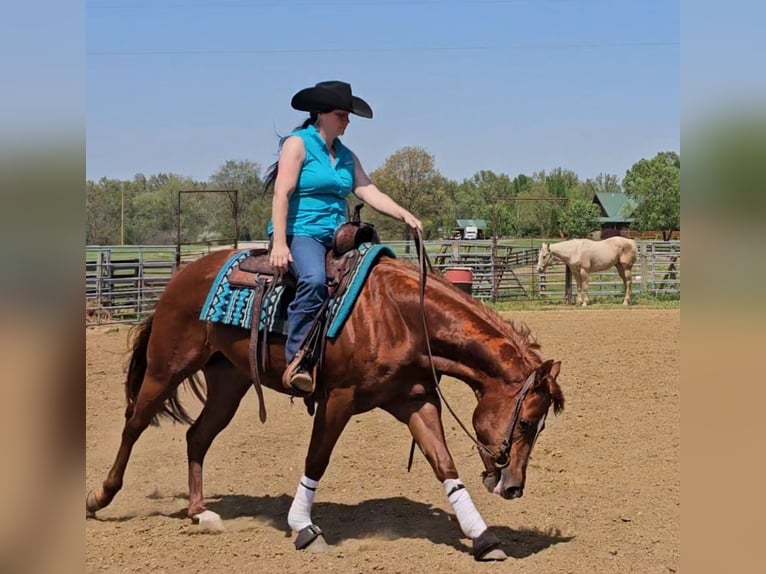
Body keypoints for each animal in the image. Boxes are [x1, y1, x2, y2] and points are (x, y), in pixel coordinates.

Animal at [85, 251, 564, 564]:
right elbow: (317, 459)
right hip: (166, 367)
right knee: (134, 424)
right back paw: (98, 497)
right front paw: (303, 529)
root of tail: (182, 276)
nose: (514, 487)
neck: (402, 316)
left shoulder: (416, 402)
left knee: (197, 436)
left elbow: (445, 466)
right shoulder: (337, 399)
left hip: (229, 382)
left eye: (540, 426)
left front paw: (483, 538)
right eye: (525, 421)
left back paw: (201, 512)